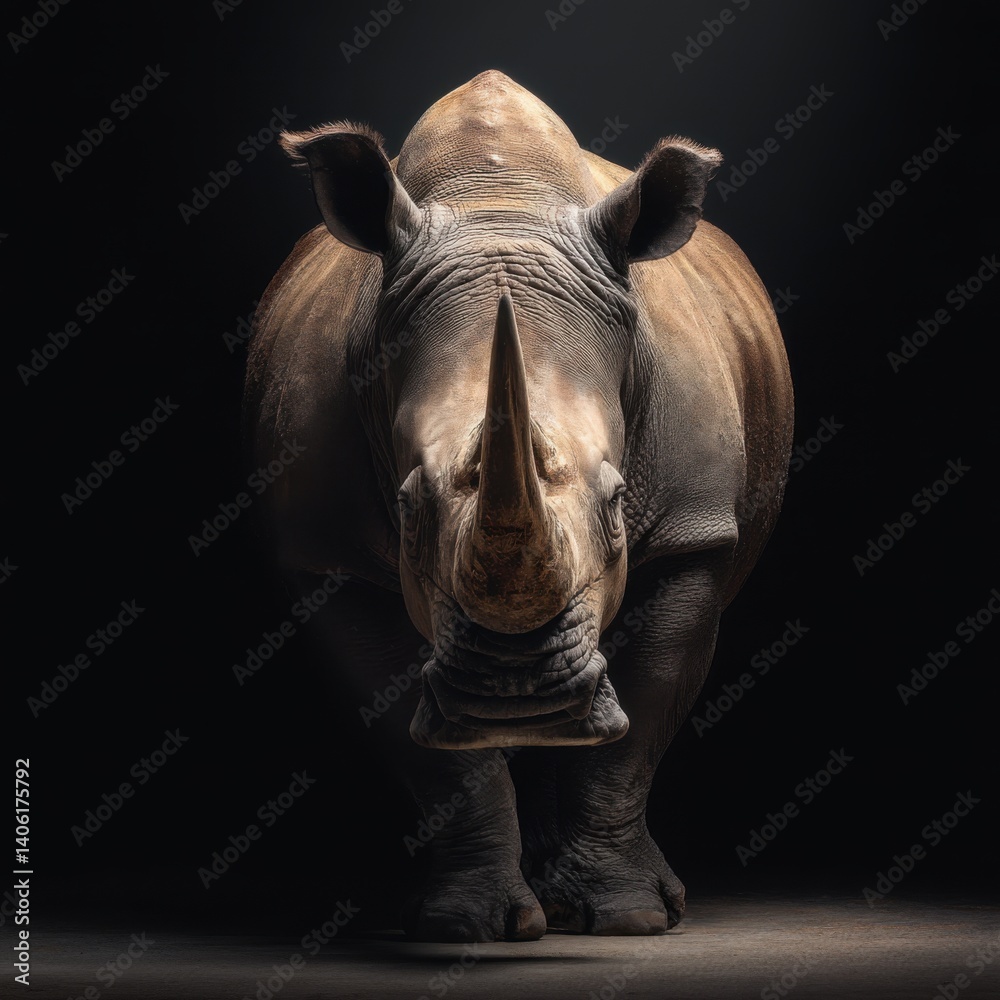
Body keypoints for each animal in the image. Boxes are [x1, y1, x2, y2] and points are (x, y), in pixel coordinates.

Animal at [245, 70, 793, 942]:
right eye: (407, 508)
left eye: (618, 503)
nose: (517, 691)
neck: (499, 206)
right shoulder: (329, 553)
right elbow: (431, 755)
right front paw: (465, 924)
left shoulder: (691, 533)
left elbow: (636, 723)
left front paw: (630, 916)